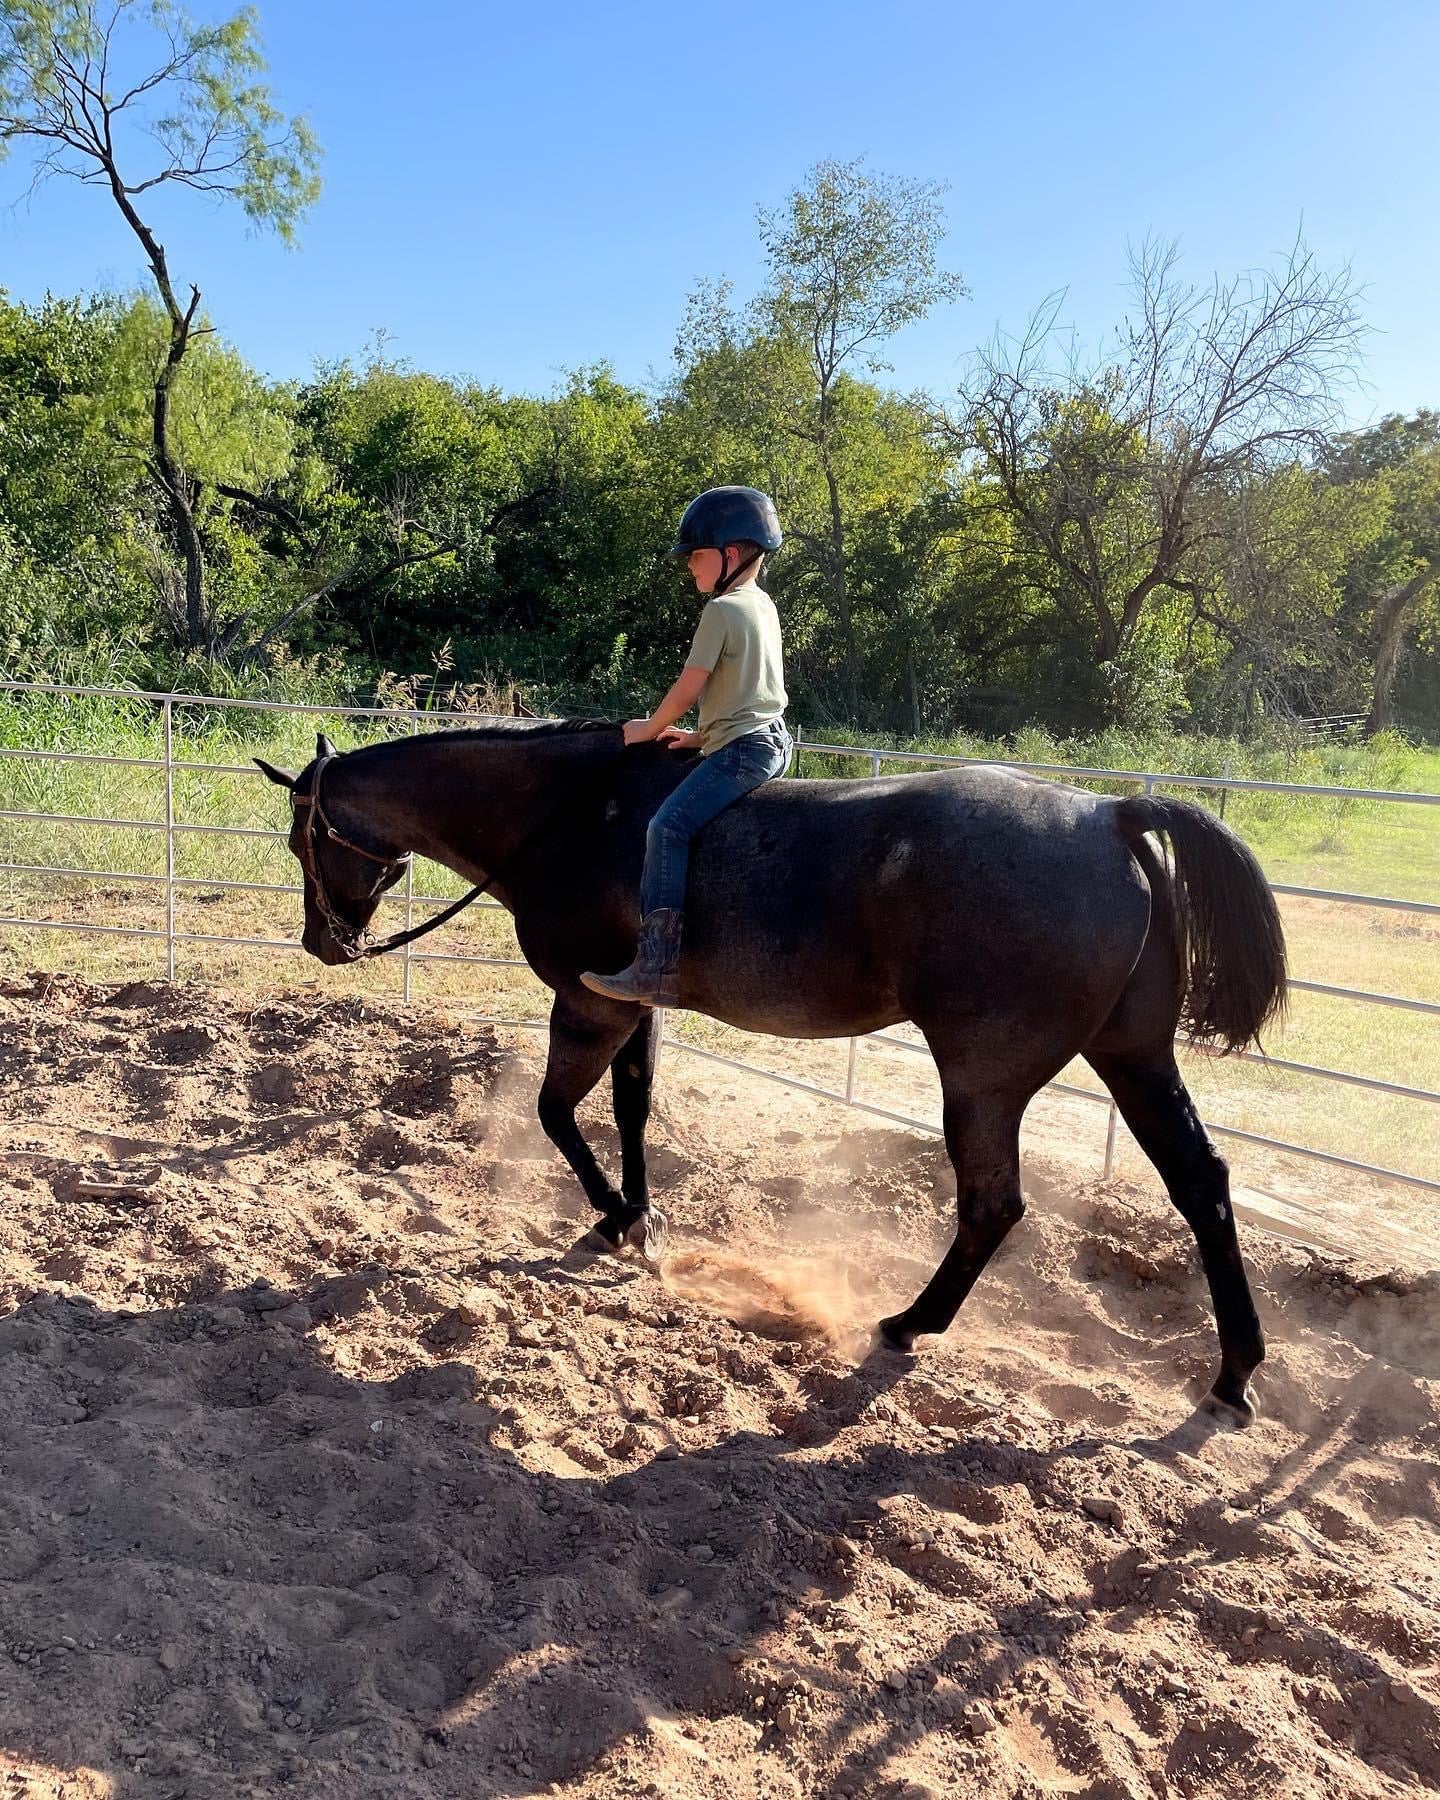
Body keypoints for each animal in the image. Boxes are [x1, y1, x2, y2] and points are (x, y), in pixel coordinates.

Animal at [255, 716, 1281, 1418]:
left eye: (303, 837)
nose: (321, 942)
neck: (567, 817)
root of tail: (1109, 815)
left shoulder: (590, 1004)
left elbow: (555, 1114)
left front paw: (616, 1218)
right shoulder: (636, 1008)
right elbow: (632, 1111)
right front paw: (638, 1217)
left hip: (983, 1078)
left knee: (994, 1205)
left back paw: (910, 1323)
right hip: (1132, 1057)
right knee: (1200, 1183)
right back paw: (1234, 1372)